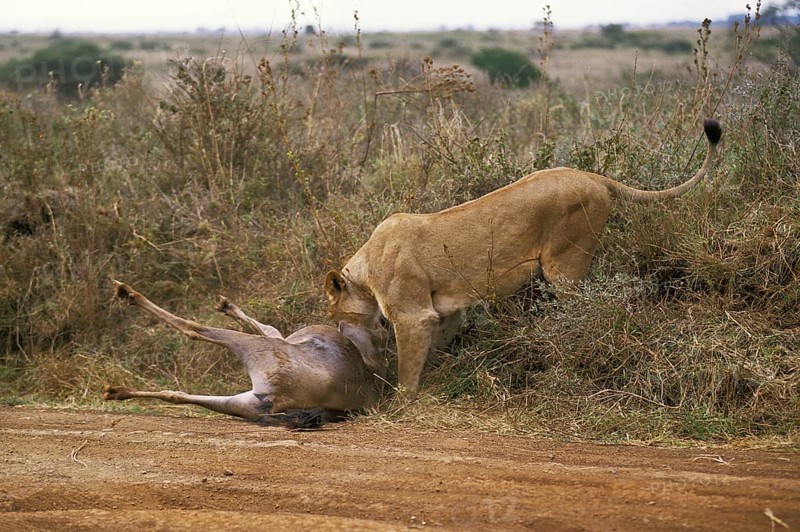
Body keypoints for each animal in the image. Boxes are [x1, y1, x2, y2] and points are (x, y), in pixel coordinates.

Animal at [326, 119, 722, 391]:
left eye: (334, 312)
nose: (337, 329)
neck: (365, 268)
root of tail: (593, 176)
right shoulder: (443, 310)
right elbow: (437, 344)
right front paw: (438, 375)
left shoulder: (413, 314)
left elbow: (408, 366)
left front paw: (401, 400)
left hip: (565, 263)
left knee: (580, 308)